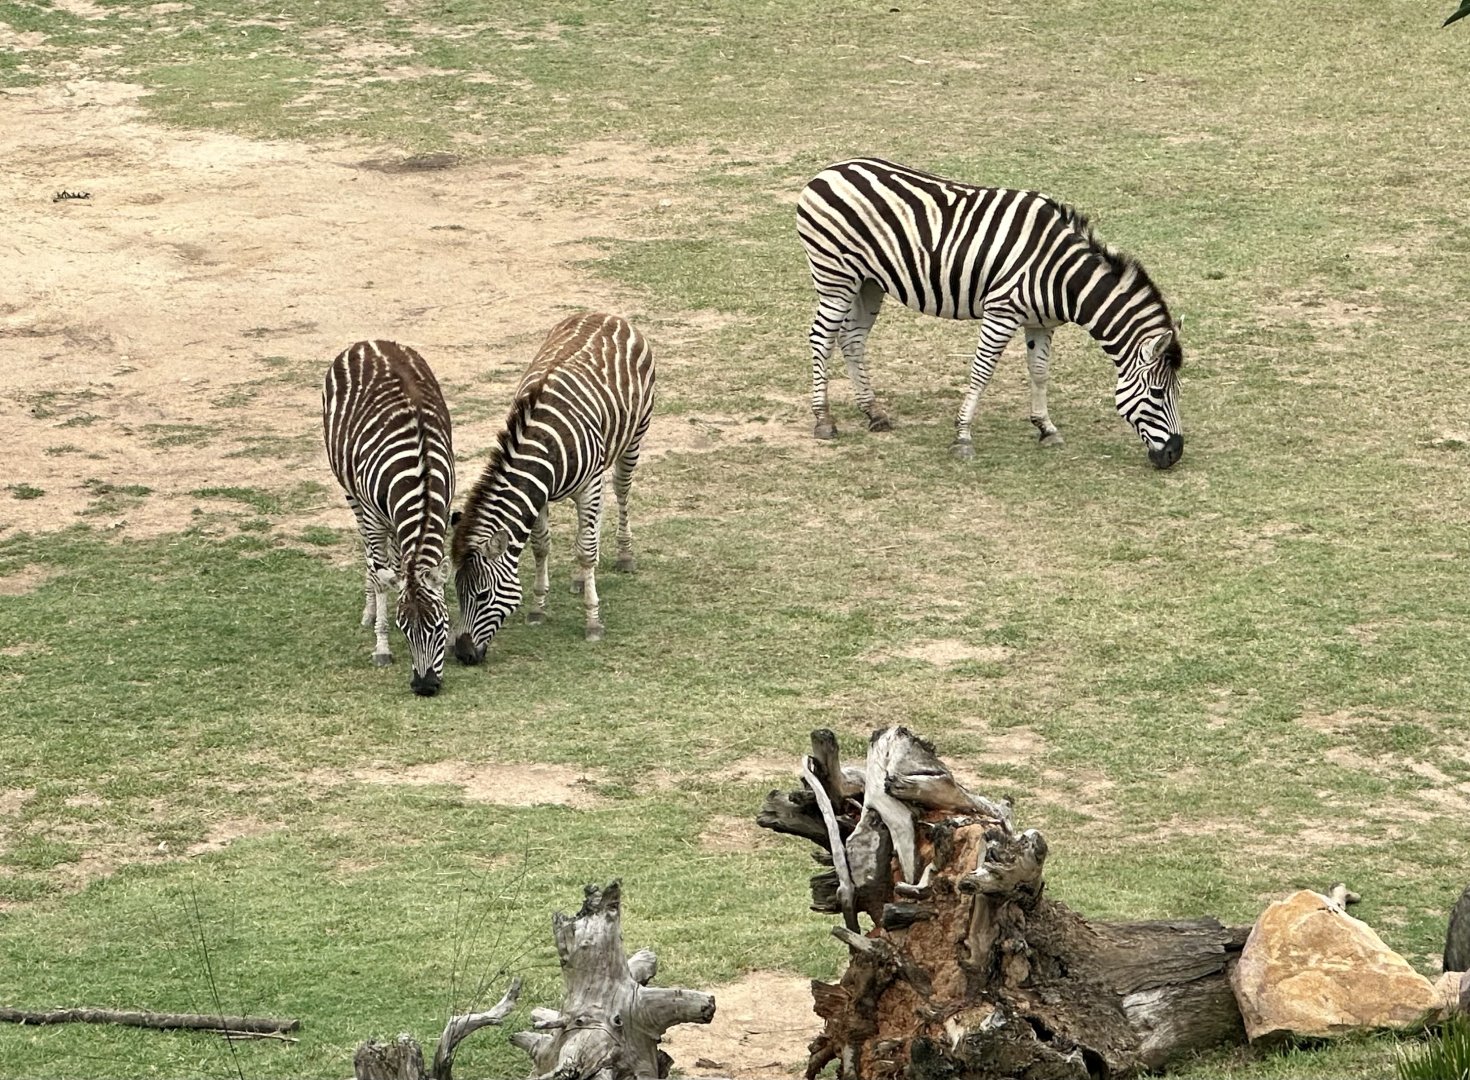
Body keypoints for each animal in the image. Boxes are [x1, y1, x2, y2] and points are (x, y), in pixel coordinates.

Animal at [322, 339, 455, 697]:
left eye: (440, 625)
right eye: (405, 629)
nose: (425, 687)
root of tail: (369, 342)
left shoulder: (443, 509)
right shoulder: (373, 515)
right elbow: (380, 575)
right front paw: (381, 645)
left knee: (395, 559)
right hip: (352, 494)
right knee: (371, 556)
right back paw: (370, 611)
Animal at [451, 312, 655, 664]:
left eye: (483, 595)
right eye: (457, 593)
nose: (463, 654)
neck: (542, 442)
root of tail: (606, 315)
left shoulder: (587, 486)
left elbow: (586, 551)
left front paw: (592, 621)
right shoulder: (539, 496)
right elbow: (542, 546)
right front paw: (538, 608)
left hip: (634, 437)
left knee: (621, 491)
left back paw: (624, 555)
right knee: (593, 520)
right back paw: (579, 578)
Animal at [796, 157, 1185, 468]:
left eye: (1177, 392)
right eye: (1156, 394)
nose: (1175, 454)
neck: (1063, 275)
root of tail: (829, 171)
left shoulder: (1042, 323)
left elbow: (1040, 373)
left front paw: (1046, 428)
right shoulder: (1001, 312)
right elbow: (981, 373)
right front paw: (962, 436)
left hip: (868, 282)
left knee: (852, 340)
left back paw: (873, 412)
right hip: (835, 276)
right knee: (822, 338)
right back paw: (824, 420)